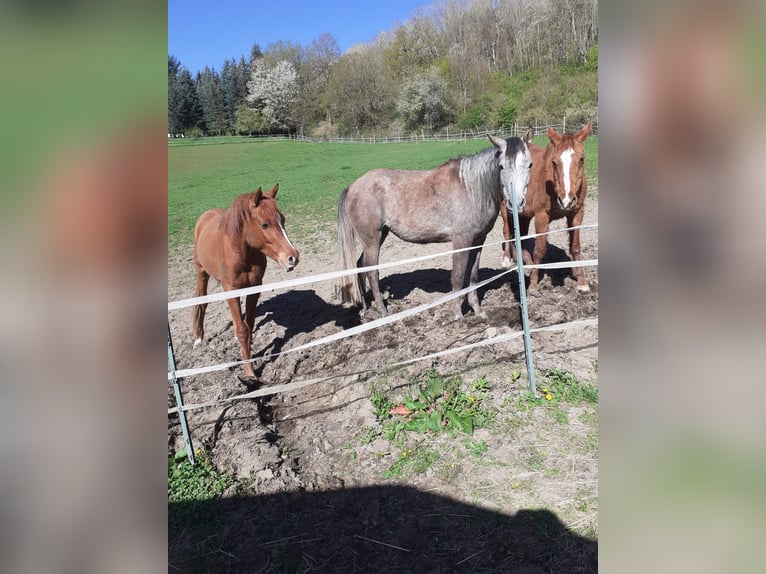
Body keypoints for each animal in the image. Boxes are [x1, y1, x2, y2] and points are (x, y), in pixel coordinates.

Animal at [191, 184, 300, 378]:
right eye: (265, 224)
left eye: (283, 220)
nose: (292, 257)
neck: (240, 251)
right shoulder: (230, 289)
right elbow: (243, 330)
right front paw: (250, 372)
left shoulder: (254, 288)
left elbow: (248, 325)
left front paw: (250, 357)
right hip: (202, 272)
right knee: (202, 304)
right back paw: (199, 339)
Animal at [336, 130, 536, 320]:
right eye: (501, 166)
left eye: (529, 165)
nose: (516, 203)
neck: (471, 190)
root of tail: (352, 187)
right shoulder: (461, 241)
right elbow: (458, 277)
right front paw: (457, 314)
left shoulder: (479, 240)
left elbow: (472, 276)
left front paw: (478, 310)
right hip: (372, 240)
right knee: (372, 272)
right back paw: (383, 312)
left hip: (379, 236)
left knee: (361, 266)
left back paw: (366, 308)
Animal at [500, 122, 596, 292]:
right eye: (554, 162)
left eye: (582, 160)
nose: (566, 200)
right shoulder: (541, 216)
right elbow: (540, 250)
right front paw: (532, 284)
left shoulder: (577, 213)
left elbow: (575, 247)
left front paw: (582, 281)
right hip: (506, 208)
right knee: (507, 232)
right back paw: (508, 261)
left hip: (524, 213)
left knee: (520, 238)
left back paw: (526, 264)